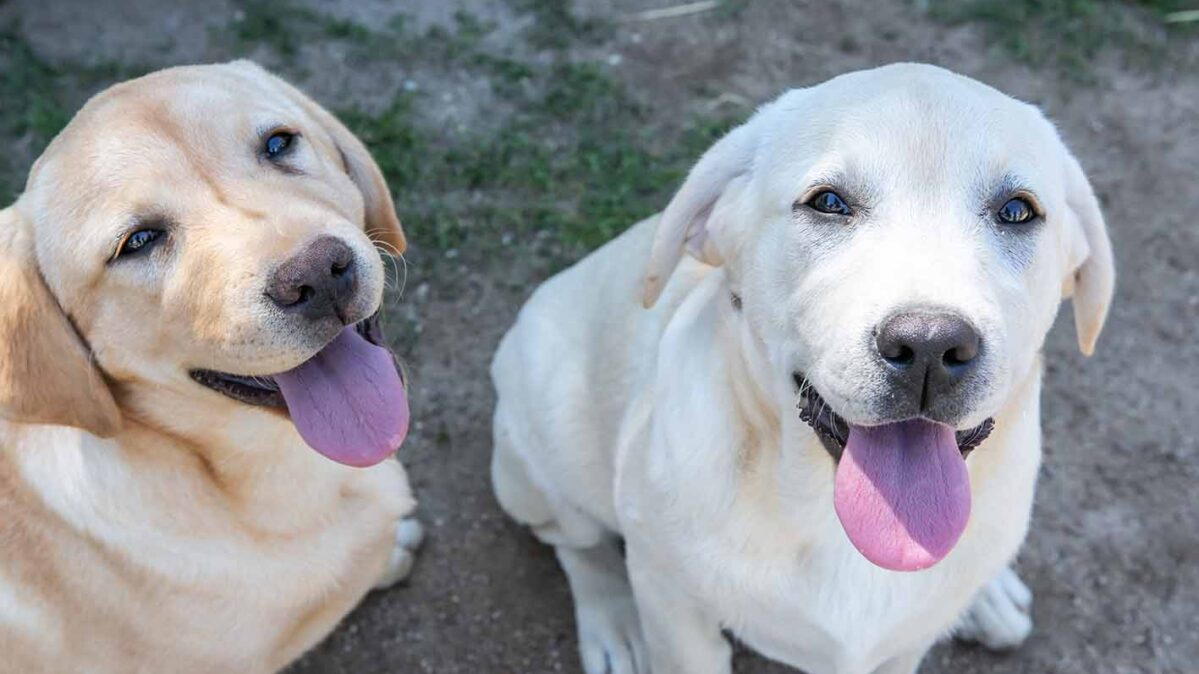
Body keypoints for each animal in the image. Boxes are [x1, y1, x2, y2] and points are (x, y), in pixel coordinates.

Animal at [489, 64, 1112, 671]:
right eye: (828, 203)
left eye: (1017, 211)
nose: (930, 345)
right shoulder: (674, 608)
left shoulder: (901, 649)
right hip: (547, 433)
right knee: (573, 539)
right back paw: (613, 622)